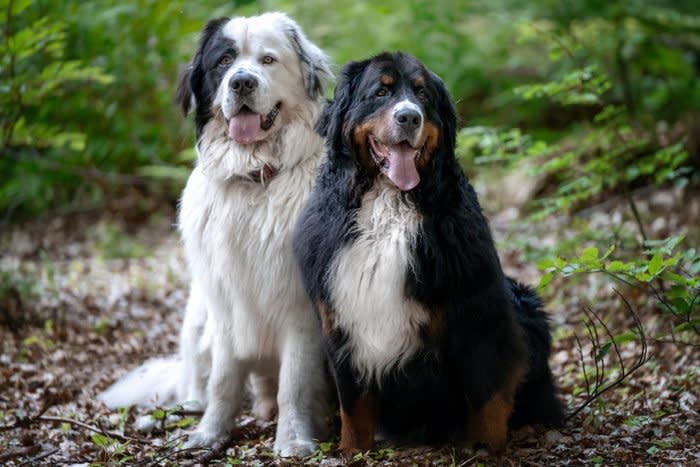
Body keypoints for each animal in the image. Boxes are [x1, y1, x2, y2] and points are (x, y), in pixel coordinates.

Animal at [98, 11, 334, 458]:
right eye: (224, 62)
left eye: (267, 60)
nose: (241, 82)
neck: (255, 177)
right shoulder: (225, 304)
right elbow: (224, 381)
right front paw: (209, 434)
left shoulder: (299, 308)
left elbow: (294, 384)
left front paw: (293, 439)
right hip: (197, 319)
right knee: (197, 385)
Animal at [292, 52, 568, 458]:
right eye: (381, 92)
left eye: (422, 95)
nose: (409, 117)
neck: (390, 205)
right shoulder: (339, 323)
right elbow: (353, 406)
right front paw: (353, 451)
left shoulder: (478, 315)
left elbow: (487, 395)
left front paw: (486, 449)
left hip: (524, 303)